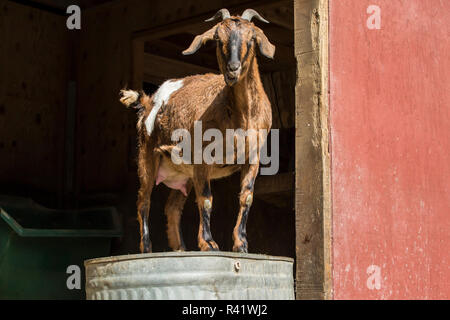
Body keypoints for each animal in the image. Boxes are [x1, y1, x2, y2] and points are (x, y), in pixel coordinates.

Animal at [119, 8, 274, 254]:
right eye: (218, 39)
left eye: (251, 39)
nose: (233, 70)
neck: (241, 116)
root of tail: (147, 102)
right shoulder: (202, 158)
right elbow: (206, 199)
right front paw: (209, 243)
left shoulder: (253, 157)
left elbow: (247, 196)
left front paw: (241, 244)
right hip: (148, 154)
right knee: (144, 199)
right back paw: (147, 248)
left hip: (184, 172)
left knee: (172, 207)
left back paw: (180, 249)